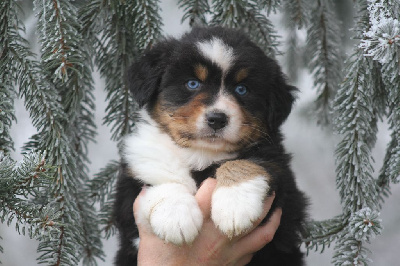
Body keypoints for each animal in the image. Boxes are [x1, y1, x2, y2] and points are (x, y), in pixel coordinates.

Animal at [114, 27, 308, 266]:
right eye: (192, 83)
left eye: (242, 89)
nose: (217, 119)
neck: (200, 153)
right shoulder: (131, 186)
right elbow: (163, 181)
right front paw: (175, 218)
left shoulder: (282, 180)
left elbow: (247, 163)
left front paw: (235, 205)